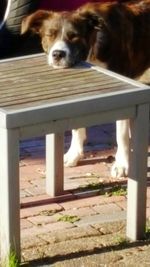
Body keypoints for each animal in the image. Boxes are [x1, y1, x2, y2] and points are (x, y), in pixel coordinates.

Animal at [21, 1, 150, 179]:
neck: (91, 50)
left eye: (74, 36)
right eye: (50, 35)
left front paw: (122, 164)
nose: (58, 54)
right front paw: (74, 154)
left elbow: (122, 134)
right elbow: (77, 127)